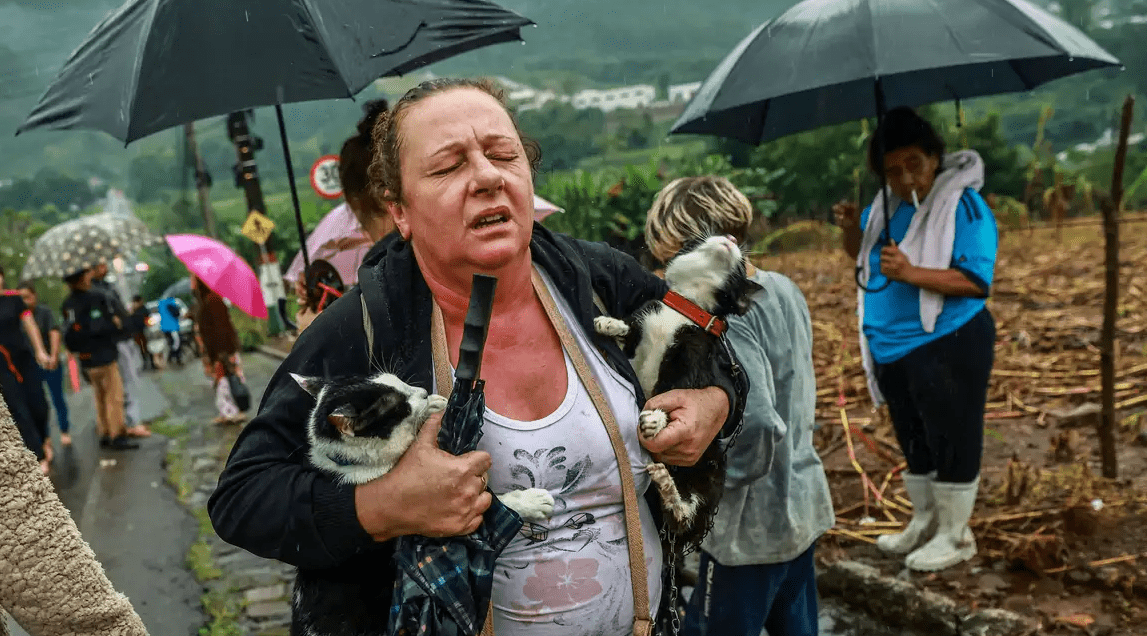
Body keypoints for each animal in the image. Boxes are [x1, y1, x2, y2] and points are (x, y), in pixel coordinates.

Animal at [286, 371, 555, 633]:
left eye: (398, 380)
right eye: (400, 406)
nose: (423, 392)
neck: (352, 464)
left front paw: (435, 404)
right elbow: (493, 506)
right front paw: (531, 501)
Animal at [591, 233, 761, 548]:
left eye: (741, 267)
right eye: (708, 235)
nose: (731, 237)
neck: (686, 307)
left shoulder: (693, 357)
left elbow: (675, 389)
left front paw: (657, 418)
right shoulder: (642, 325)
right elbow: (628, 333)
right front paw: (609, 323)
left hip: (711, 470)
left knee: (684, 516)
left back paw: (669, 489)